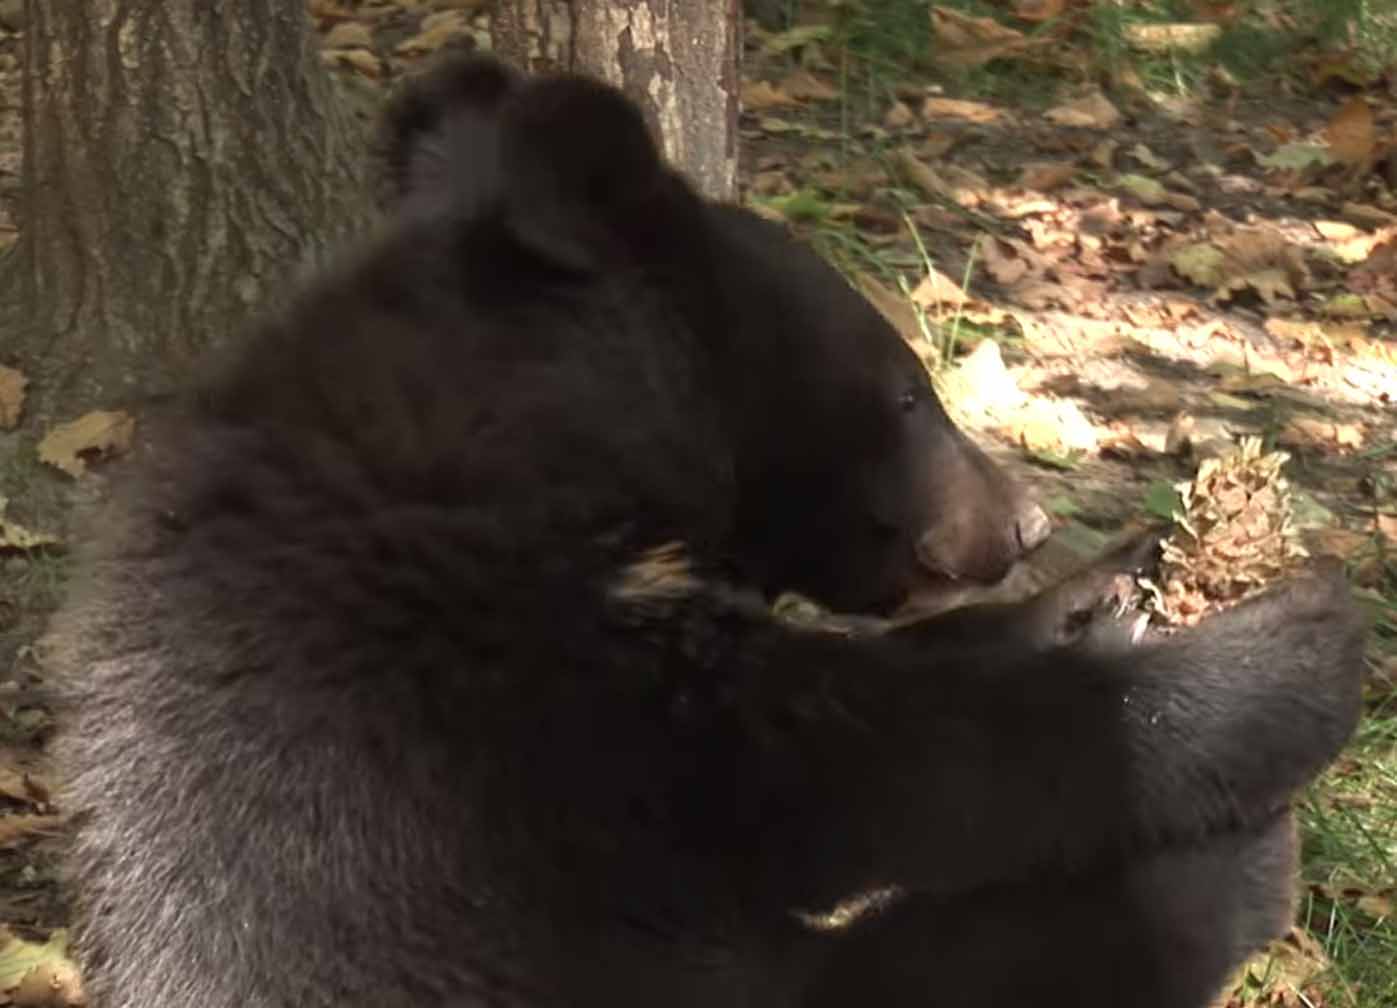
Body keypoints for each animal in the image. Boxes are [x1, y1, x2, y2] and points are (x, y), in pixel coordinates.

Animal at [54, 56, 1363, 1005]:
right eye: (907, 391)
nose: (1023, 520)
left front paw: (1100, 588)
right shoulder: (491, 726)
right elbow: (882, 761)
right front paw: (1294, 648)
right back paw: (1228, 873)